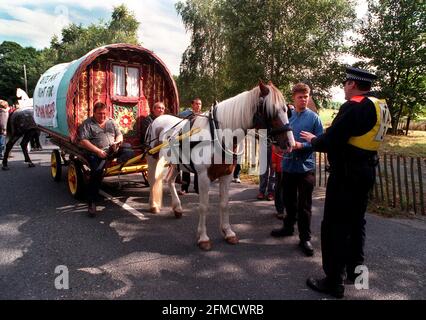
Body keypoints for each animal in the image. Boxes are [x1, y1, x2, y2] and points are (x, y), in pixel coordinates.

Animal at [145, 82, 294, 250]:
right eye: (271, 110)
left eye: (286, 110)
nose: (290, 143)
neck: (219, 135)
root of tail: (157, 119)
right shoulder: (203, 176)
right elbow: (204, 206)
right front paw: (203, 238)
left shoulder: (226, 175)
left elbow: (224, 204)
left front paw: (228, 232)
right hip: (153, 158)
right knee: (153, 180)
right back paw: (153, 205)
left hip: (176, 163)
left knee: (169, 180)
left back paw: (177, 208)